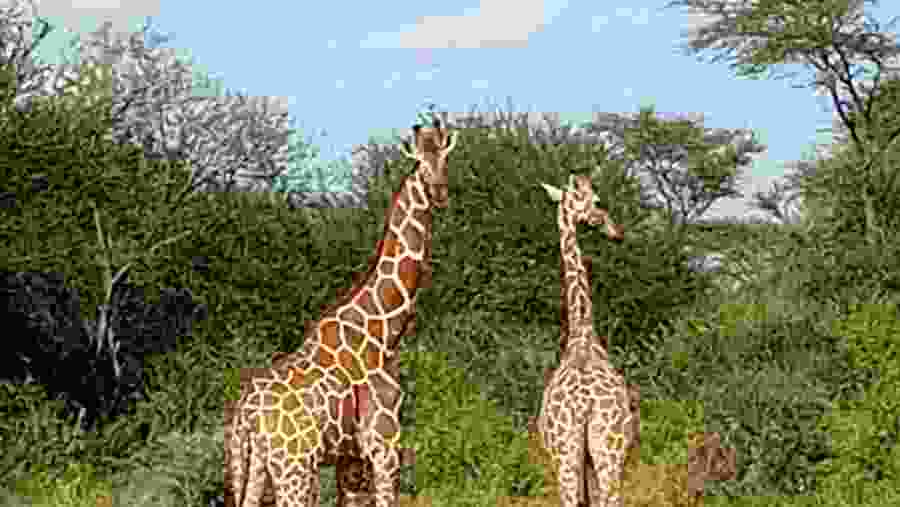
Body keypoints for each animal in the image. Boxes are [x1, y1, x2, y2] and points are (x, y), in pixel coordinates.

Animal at [226, 117, 457, 507]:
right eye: (420, 161)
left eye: (444, 156)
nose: (439, 192)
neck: (384, 331)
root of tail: (246, 412)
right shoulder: (384, 445)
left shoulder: (349, 457)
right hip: (294, 466)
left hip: (255, 462)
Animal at [537, 174, 633, 507]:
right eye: (598, 201)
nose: (617, 233)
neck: (582, 331)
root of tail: (586, 406)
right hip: (604, 452)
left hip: (570, 456)